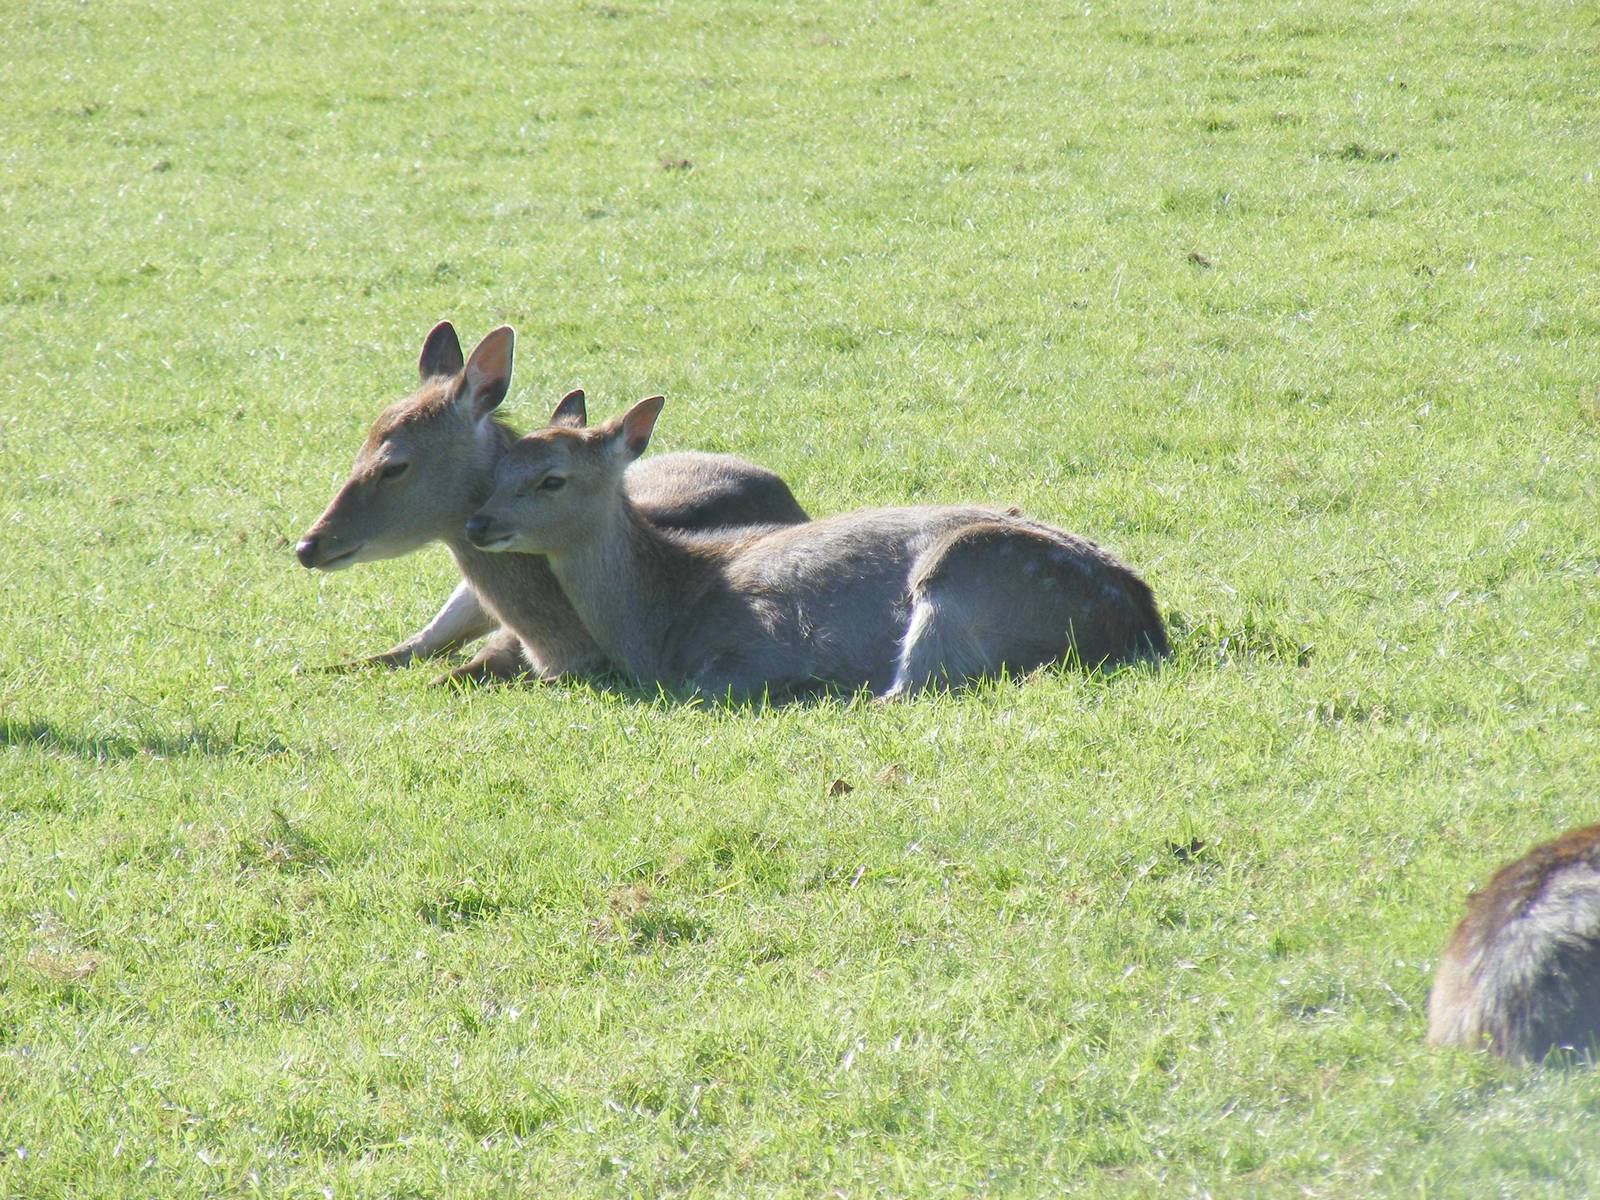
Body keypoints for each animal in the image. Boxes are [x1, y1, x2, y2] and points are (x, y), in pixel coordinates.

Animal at [464, 395, 1168, 701]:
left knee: (908, 689)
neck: (661, 619)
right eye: (496, 468)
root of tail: (1142, 624)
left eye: (552, 478)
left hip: (962, 576)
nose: (477, 522)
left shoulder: (742, 651)